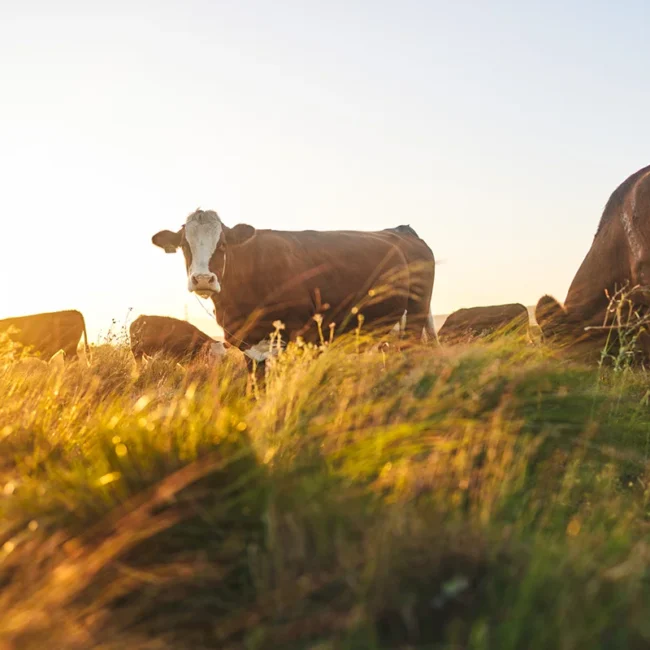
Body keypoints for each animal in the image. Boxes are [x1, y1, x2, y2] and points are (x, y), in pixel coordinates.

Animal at [151, 209, 436, 361]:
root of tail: (401, 230)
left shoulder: (299, 336)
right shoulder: (247, 343)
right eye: (184, 245)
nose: (203, 279)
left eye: (222, 245)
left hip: (416, 315)